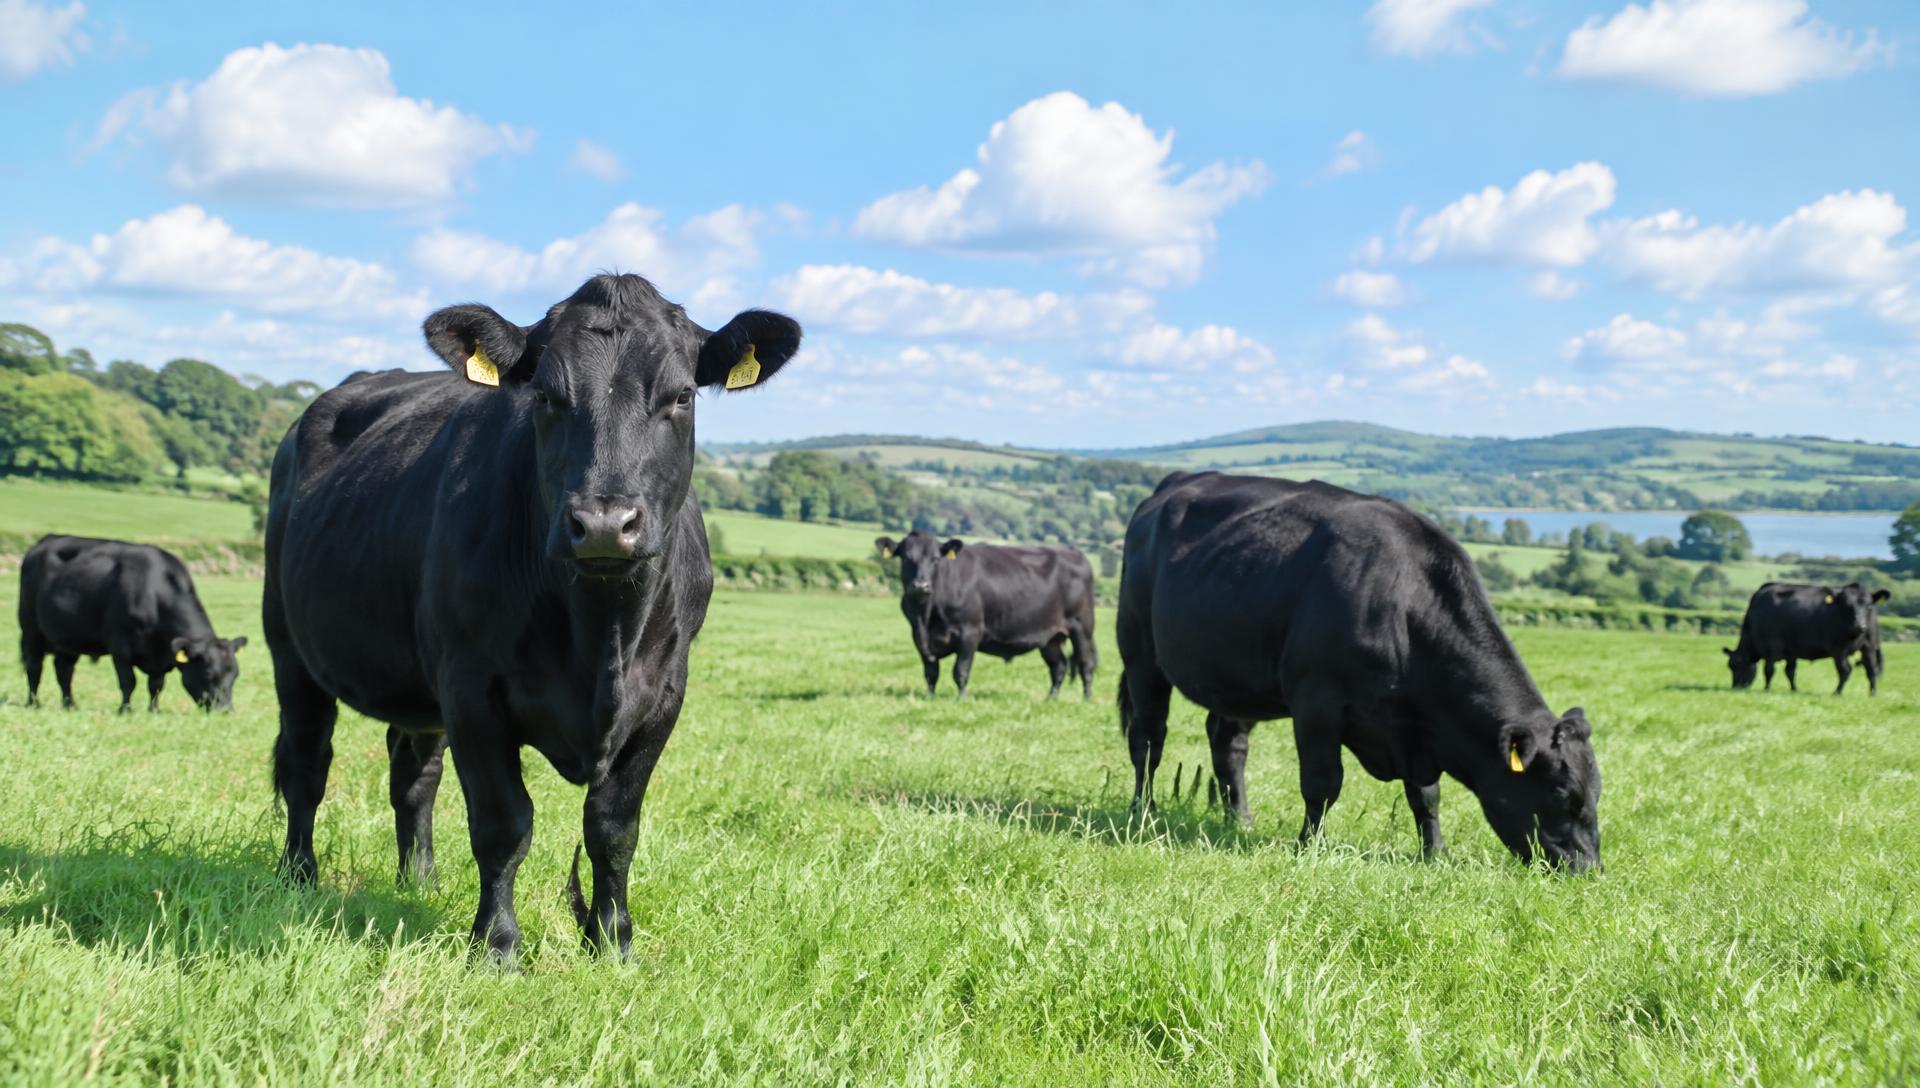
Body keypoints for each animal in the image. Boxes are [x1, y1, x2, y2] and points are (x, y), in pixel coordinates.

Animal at [18, 535, 246, 712]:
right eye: (208, 673)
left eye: (235, 675)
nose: (225, 710)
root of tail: (44, 541)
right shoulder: (120, 648)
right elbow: (128, 682)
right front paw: (125, 709)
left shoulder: (160, 657)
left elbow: (156, 685)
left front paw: (154, 710)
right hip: (30, 630)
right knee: (34, 668)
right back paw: (33, 703)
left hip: (68, 638)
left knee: (64, 671)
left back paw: (70, 705)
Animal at [263, 273, 800, 963]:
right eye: (545, 394)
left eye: (681, 395)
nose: (604, 524)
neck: (602, 636)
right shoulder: (471, 688)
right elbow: (503, 824)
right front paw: (496, 945)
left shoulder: (664, 695)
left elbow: (613, 827)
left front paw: (613, 942)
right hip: (290, 649)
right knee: (306, 763)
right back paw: (298, 877)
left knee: (413, 775)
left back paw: (420, 881)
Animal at [873, 532, 1097, 700]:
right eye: (906, 558)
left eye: (935, 560)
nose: (921, 585)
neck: (926, 615)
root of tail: (1075, 552)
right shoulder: (919, 638)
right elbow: (931, 672)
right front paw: (930, 697)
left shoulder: (970, 632)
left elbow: (961, 670)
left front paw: (962, 699)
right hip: (1050, 637)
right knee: (1059, 667)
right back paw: (1051, 699)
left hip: (1081, 627)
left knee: (1085, 664)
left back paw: (1086, 699)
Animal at [1116, 472, 1601, 871]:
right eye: (1561, 794)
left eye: (1596, 791)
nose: (1589, 868)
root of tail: (1172, 483)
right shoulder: (1316, 703)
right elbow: (1322, 783)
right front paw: (1308, 846)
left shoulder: (1414, 731)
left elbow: (1426, 795)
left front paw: (1435, 852)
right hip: (1140, 653)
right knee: (1147, 739)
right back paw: (1144, 812)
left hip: (1234, 679)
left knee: (1228, 745)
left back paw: (1240, 819)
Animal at [1724, 582, 1890, 695]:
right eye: (1848, 606)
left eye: (1737, 665)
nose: (1735, 687)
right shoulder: (1790, 652)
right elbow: (1790, 672)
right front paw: (1794, 690)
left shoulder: (1772, 647)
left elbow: (1769, 670)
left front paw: (1766, 689)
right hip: (1868, 647)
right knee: (1872, 670)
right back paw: (1872, 694)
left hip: (1840, 649)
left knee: (1845, 670)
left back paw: (1837, 692)